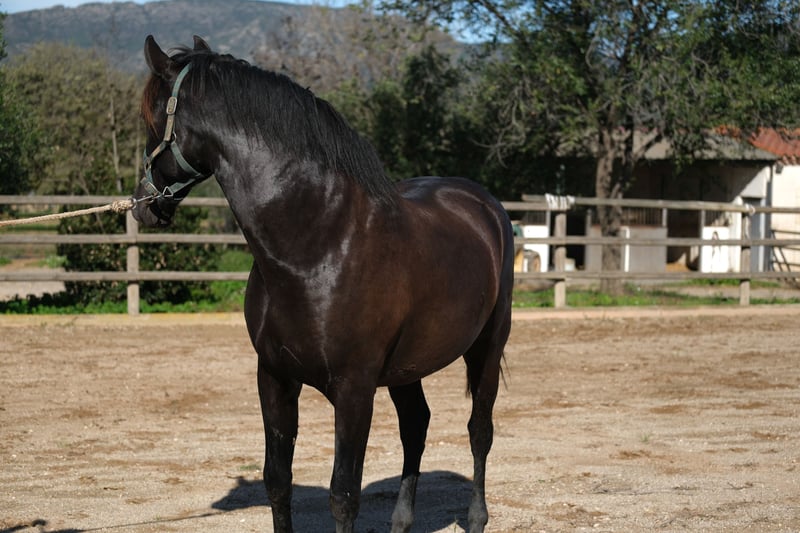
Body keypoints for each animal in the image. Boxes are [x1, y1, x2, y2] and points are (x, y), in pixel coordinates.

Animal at [131, 35, 514, 533]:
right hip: (406, 368)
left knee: (479, 430)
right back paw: (402, 521)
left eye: (152, 120)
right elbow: (278, 480)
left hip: (487, 346)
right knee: (416, 426)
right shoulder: (274, 378)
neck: (318, 243)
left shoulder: (353, 390)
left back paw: (476, 517)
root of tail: (483, 203)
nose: (143, 205)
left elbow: (343, 494)